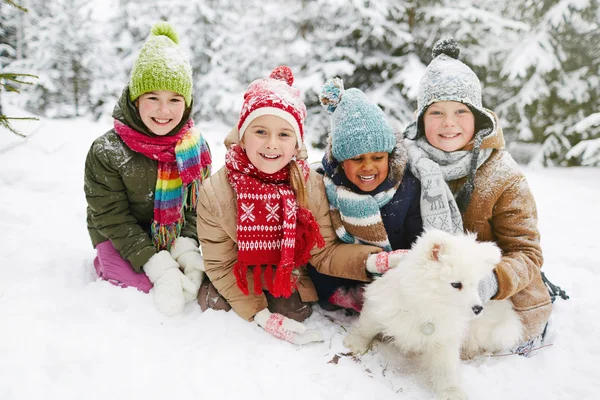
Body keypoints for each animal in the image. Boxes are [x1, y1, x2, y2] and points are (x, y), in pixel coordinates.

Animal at [344, 230, 524, 398]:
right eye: (456, 284)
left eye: (476, 284)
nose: (478, 309)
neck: (430, 306)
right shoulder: (382, 304)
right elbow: (367, 327)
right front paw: (355, 344)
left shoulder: (445, 336)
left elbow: (446, 368)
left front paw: (451, 392)